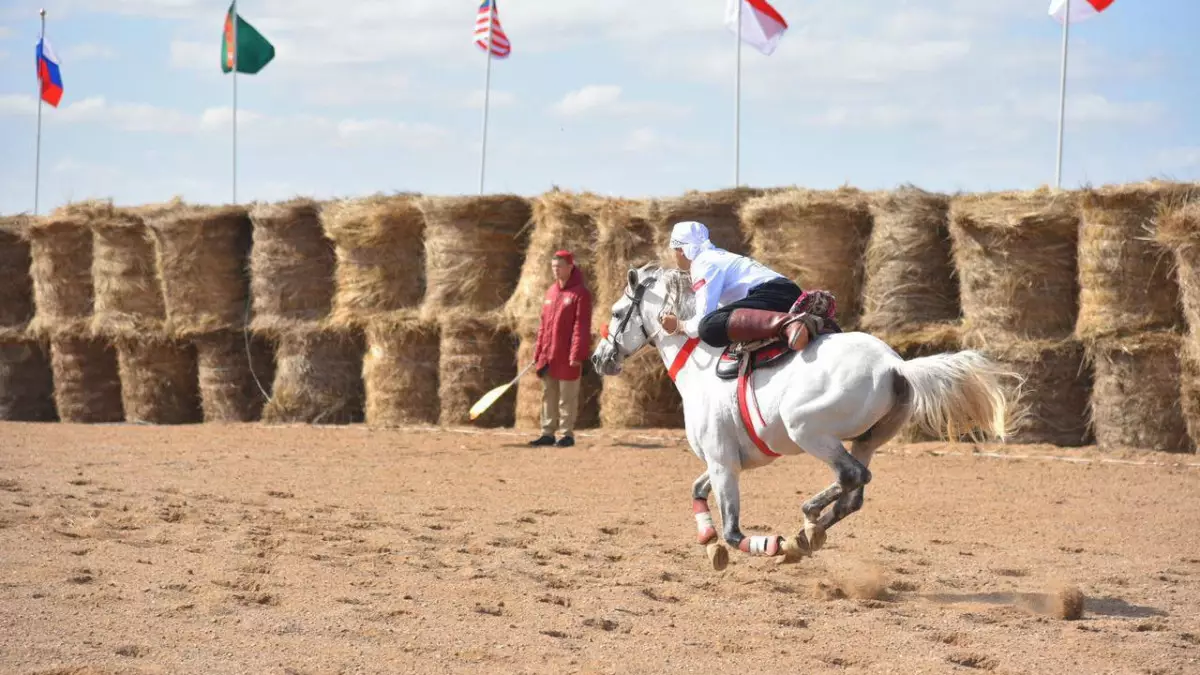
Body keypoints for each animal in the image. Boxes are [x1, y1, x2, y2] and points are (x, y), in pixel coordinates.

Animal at [585, 263, 1017, 566]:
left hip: (808, 431)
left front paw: (766, 545)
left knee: (852, 477)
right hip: (867, 439)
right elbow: (697, 492)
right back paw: (808, 534)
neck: (702, 368)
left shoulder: (723, 462)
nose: (598, 358)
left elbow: (734, 531)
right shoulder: (725, 461)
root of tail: (896, 365)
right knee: (854, 493)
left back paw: (804, 525)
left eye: (618, 311)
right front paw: (709, 544)